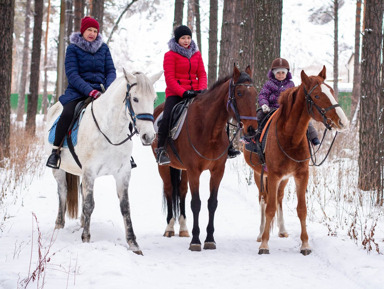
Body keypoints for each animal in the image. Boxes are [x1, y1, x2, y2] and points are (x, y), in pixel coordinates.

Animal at [44, 70, 162, 254]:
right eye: (135, 99)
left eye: (154, 99)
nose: (148, 136)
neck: (112, 130)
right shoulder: (89, 172)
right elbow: (89, 204)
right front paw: (86, 239)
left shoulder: (122, 173)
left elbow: (125, 207)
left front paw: (133, 244)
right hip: (59, 170)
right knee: (62, 192)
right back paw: (59, 225)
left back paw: (82, 223)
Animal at [152, 64, 258, 250]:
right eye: (239, 93)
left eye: (255, 93)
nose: (252, 129)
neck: (209, 129)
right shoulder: (195, 171)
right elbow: (196, 203)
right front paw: (196, 241)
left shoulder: (217, 171)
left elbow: (212, 203)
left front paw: (209, 239)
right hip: (164, 166)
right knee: (169, 190)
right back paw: (170, 228)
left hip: (183, 168)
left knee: (181, 191)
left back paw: (183, 228)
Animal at [244, 67, 350, 254]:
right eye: (317, 96)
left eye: (331, 91)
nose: (342, 122)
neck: (290, 137)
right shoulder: (272, 175)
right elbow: (269, 208)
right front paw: (264, 243)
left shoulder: (301, 175)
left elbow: (301, 209)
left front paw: (305, 244)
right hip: (260, 175)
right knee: (263, 199)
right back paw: (260, 233)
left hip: (284, 179)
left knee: (278, 198)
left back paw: (282, 229)